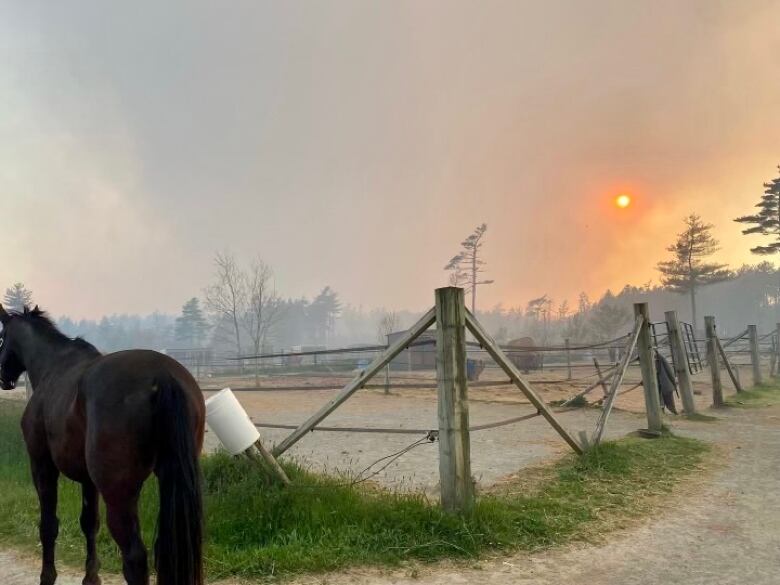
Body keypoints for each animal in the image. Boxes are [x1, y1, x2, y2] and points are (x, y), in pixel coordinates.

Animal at [0, 306, 206, 584]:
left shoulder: (42, 466)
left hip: (118, 495)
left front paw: (47, 576)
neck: (53, 366)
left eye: (1, 337)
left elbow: (48, 525)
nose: (3, 377)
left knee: (134, 557)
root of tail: (162, 375)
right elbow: (89, 524)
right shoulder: (88, 479)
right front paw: (91, 577)